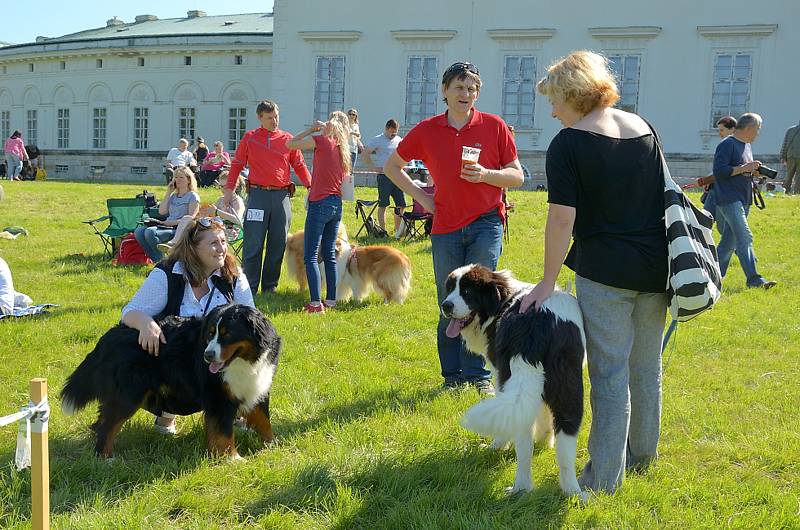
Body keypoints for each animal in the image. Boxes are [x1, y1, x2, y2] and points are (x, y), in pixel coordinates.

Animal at [59, 304, 280, 456]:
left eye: (227, 334)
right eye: (210, 334)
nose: (207, 355)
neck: (245, 361)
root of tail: (108, 337)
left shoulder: (257, 387)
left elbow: (263, 420)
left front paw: (272, 445)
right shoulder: (219, 397)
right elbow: (224, 432)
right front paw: (231, 458)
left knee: (103, 420)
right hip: (128, 395)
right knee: (108, 425)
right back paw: (105, 457)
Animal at [438, 264, 588, 500]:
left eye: (467, 292)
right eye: (451, 288)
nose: (446, 305)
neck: (503, 302)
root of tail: (535, 325)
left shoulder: (499, 374)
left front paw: (499, 446)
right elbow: (542, 413)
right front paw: (545, 440)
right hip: (568, 388)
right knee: (563, 441)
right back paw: (566, 490)